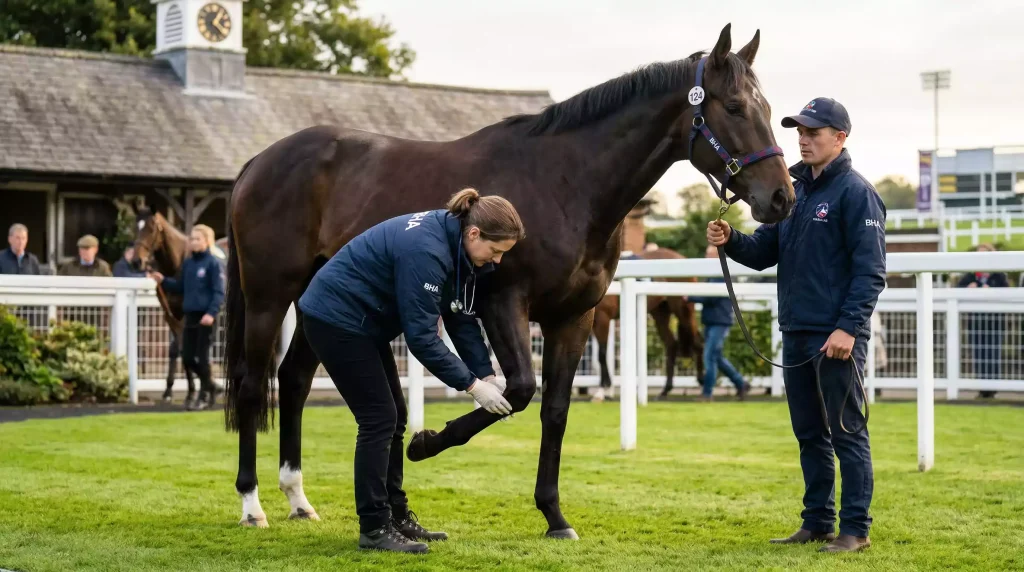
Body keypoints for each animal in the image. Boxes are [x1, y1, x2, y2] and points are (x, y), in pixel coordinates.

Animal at [590, 247, 704, 402]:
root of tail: (681, 257)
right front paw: (604, 390)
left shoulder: (603, 318)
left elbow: (602, 354)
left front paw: (602, 390)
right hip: (661, 313)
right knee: (671, 344)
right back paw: (665, 390)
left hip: (683, 309)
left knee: (697, 341)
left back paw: (702, 384)